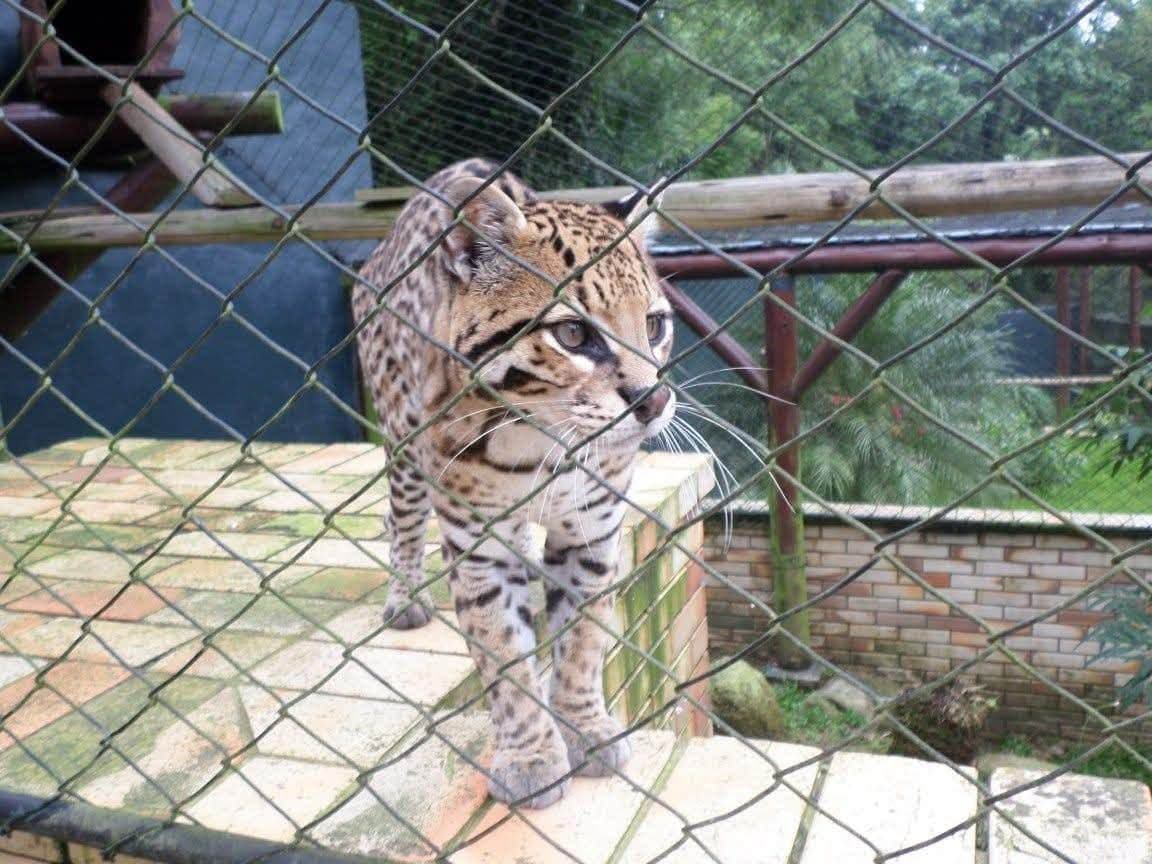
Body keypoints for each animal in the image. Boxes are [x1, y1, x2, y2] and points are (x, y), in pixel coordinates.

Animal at [351, 158, 674, 809]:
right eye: (573, 335)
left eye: (654, 326)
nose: (653, 401)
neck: (542, 444)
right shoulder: (476, 544)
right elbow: (501, 652)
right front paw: (530, 756)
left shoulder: (594, 533)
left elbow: (583, 642)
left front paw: (585, 724)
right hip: (400, 441)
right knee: (403, 521)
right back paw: (406, 595)